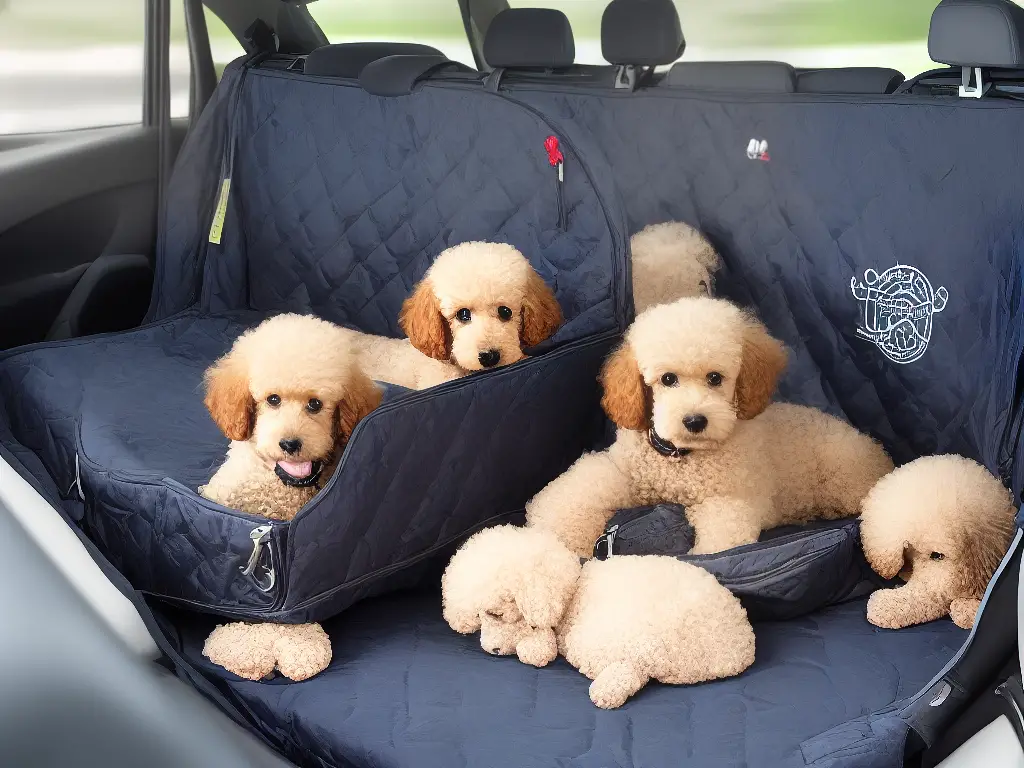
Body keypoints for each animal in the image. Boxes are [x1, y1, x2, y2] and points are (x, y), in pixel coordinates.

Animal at [440, 528, 753, 712]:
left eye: (495, 613)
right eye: (480, 616)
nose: (491, 650)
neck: (573, 592)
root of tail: (742, 645)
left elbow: (541, 647)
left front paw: (533, 647)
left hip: (645, 638)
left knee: (634, 669)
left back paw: (605, 691)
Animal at [528, 296, 897, 557]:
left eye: (715, 378)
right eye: (667, 379)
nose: (694, 420)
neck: (683, 458)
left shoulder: (728, 502)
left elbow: (718, 544)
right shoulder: (622, 472)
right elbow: (575, 494)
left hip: (844, 476)